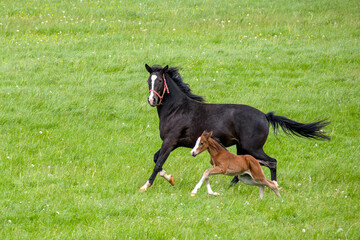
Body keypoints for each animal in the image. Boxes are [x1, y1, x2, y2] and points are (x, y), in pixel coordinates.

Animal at [140, 63, 330, 191]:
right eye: (149, 81)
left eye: (160, 81)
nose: (152, 100)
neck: (177, 109)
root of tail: (265, 116)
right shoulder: (173, 142)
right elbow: (156, 159)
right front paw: (170, 179)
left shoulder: (170, 141)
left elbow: (158, 163)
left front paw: (146, 186)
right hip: (243, 147)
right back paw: (231, 185)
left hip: (253, 147)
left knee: (272, 162)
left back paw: (272, 184)